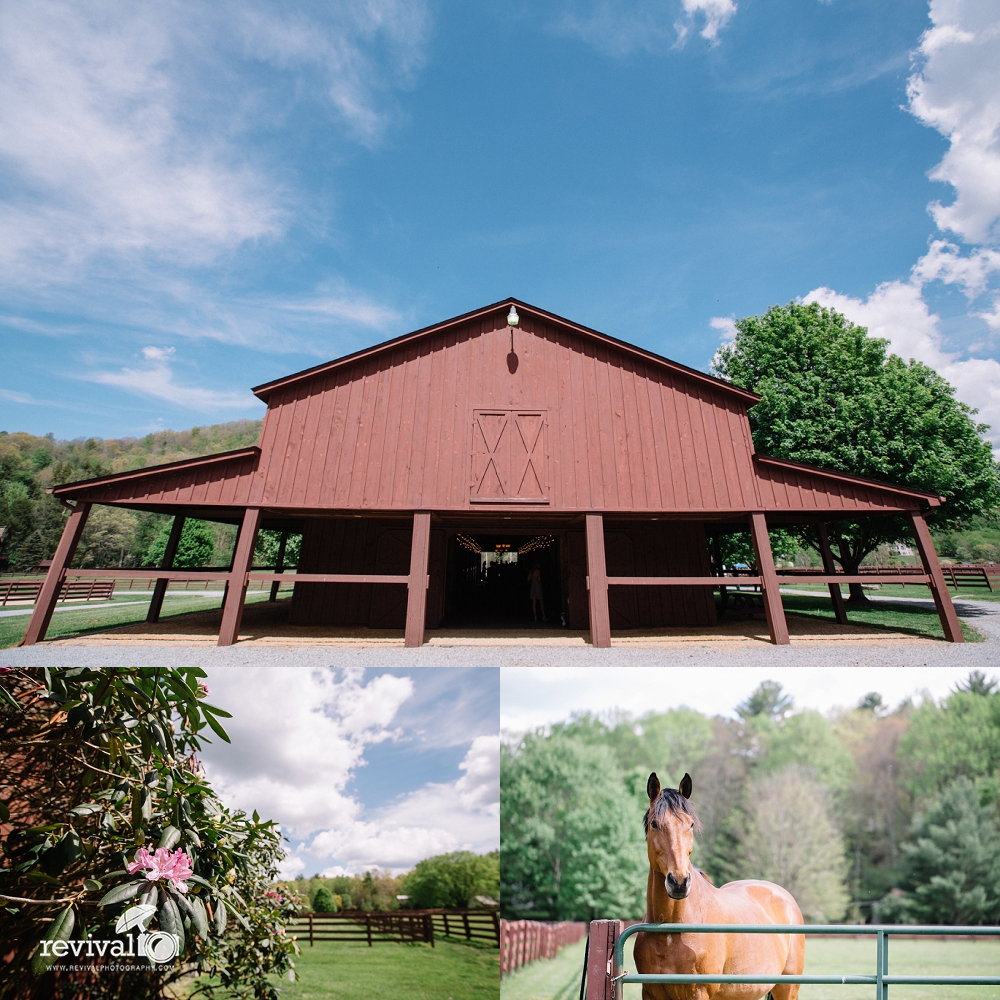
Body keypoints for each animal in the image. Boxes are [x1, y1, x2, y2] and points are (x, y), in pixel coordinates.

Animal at [636, 772, 808, 1000]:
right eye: (655, 824)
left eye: (690, 824)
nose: (679, 882)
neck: (671, 932)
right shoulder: (650, 993)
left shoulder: (699, 993)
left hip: (787, 989)